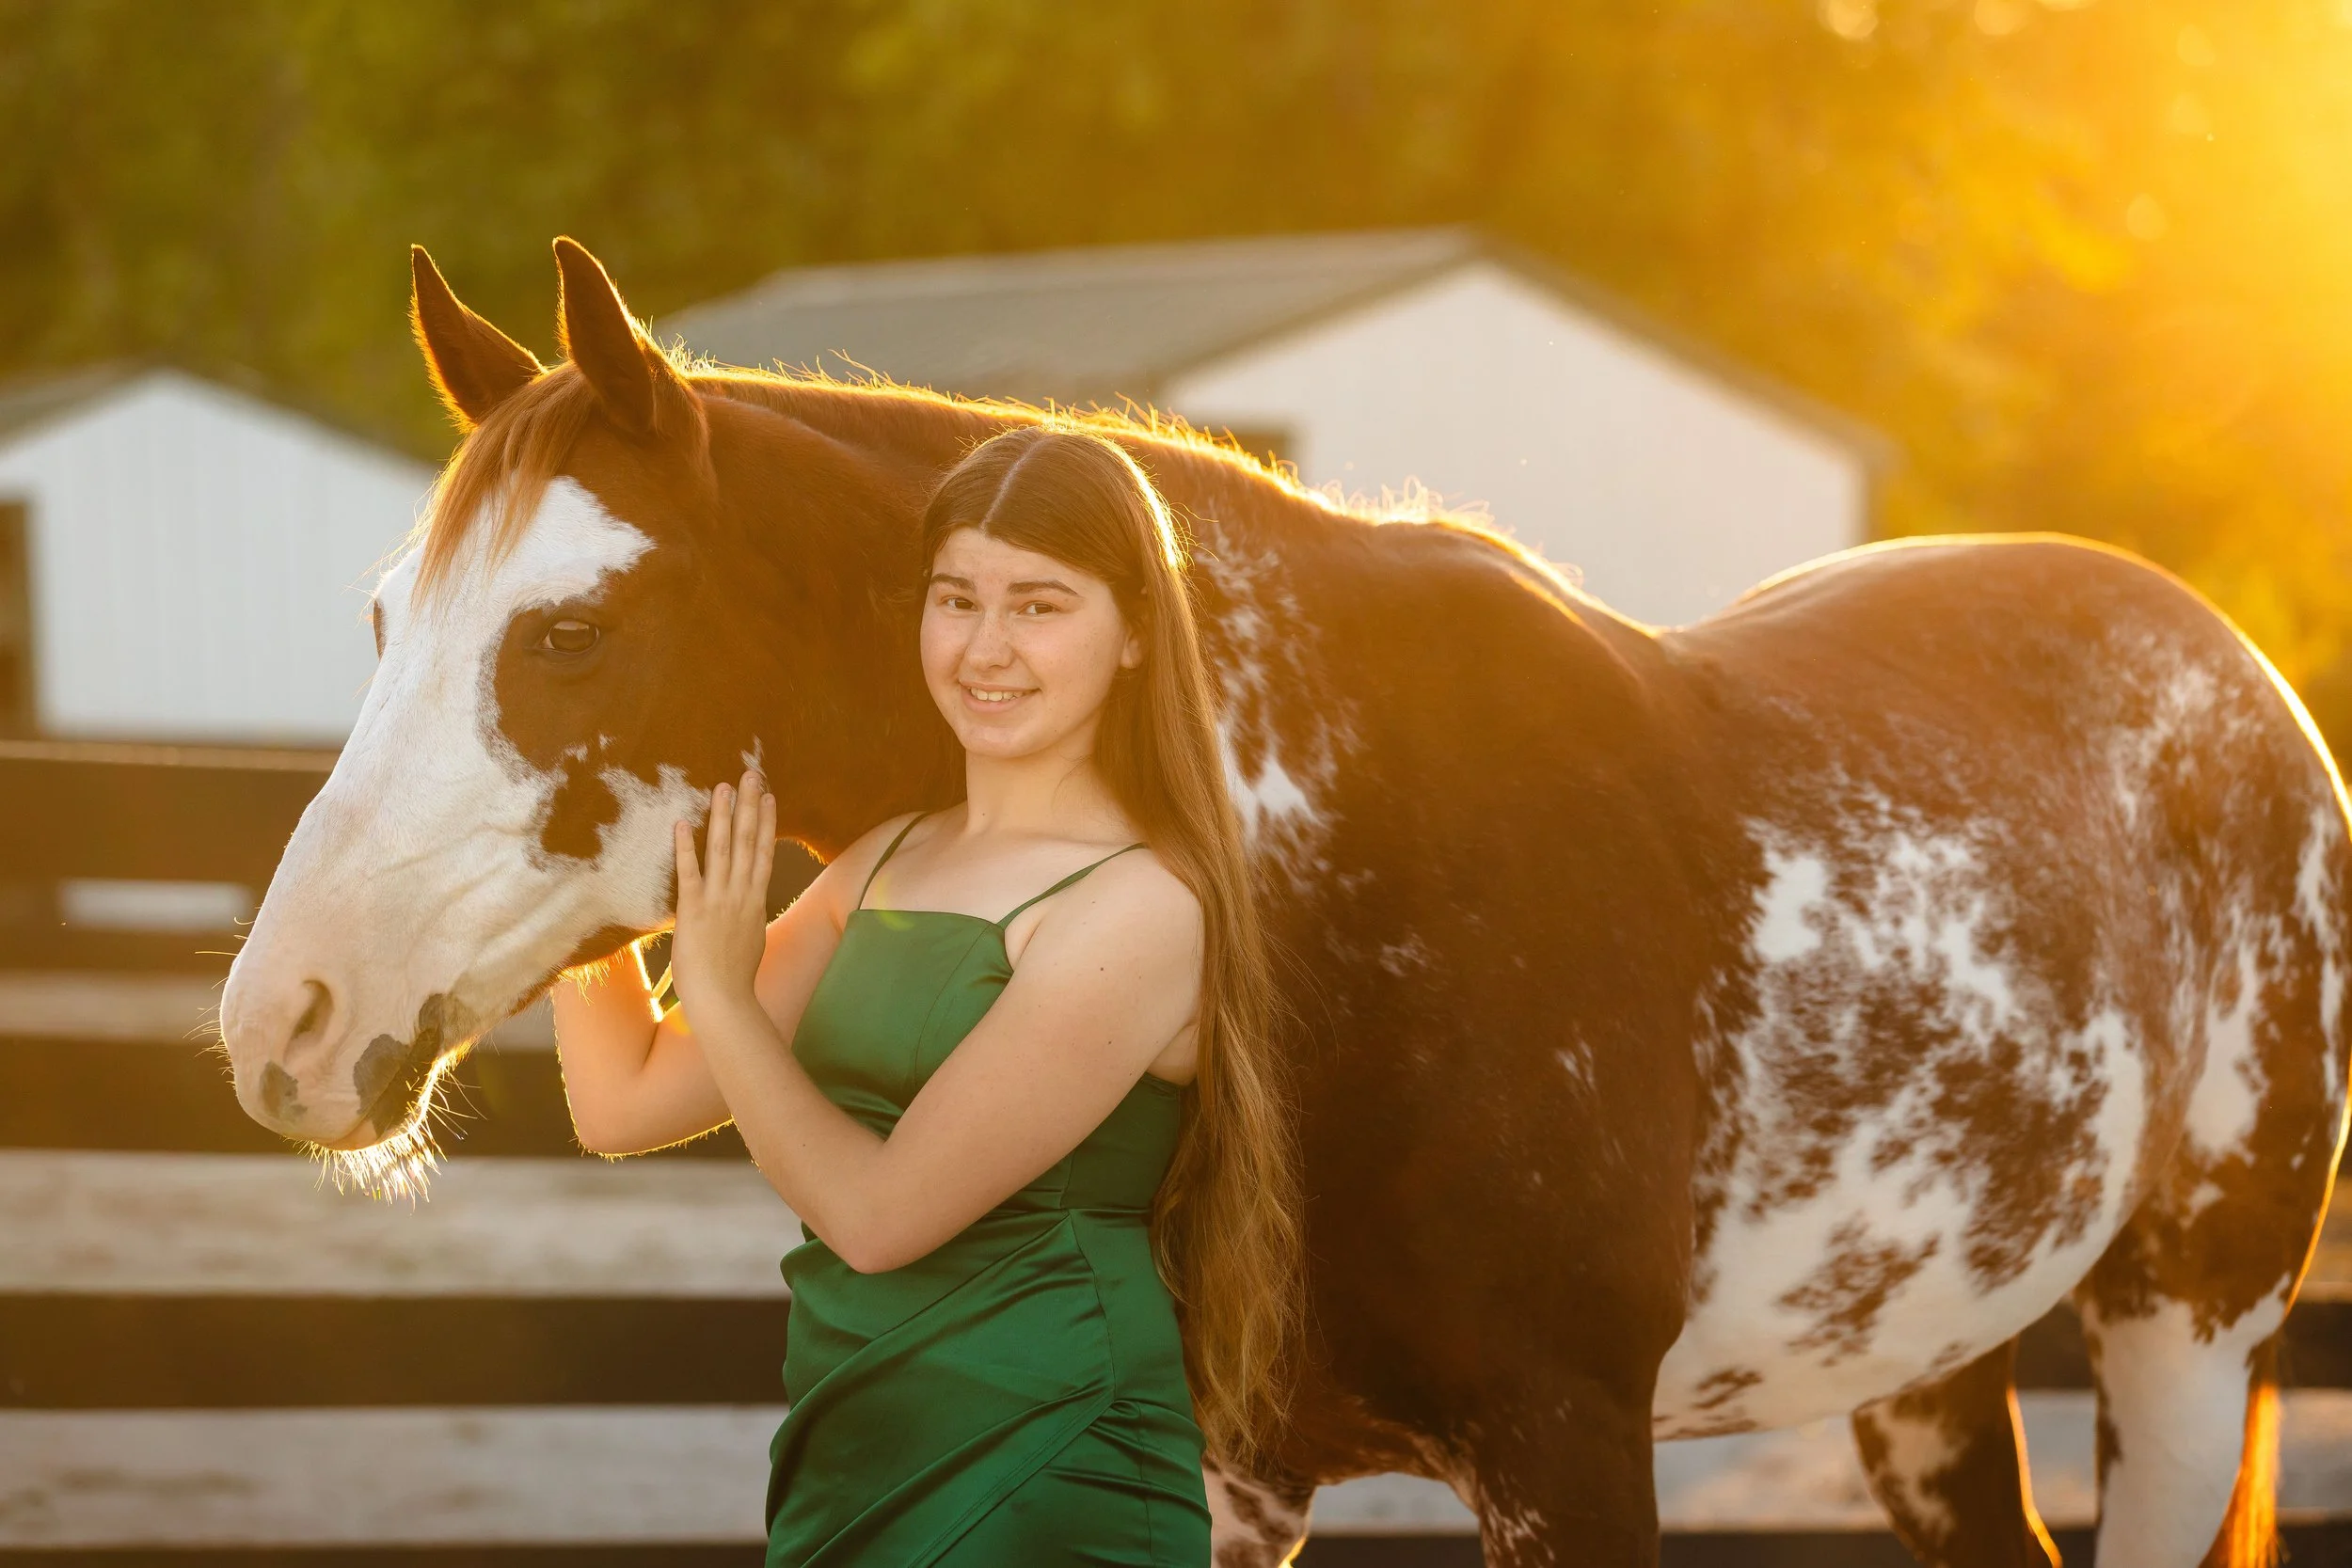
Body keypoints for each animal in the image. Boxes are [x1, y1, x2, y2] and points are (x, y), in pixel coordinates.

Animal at [219, 236, 2351, 1567]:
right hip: (1926, 1362)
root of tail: (2229, 671)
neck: (1329, 881)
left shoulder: (1570, 1454)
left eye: (565, 632)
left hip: (2185, 1335)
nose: (279, 1025)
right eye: (388, 617)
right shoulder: (1225, 1462)